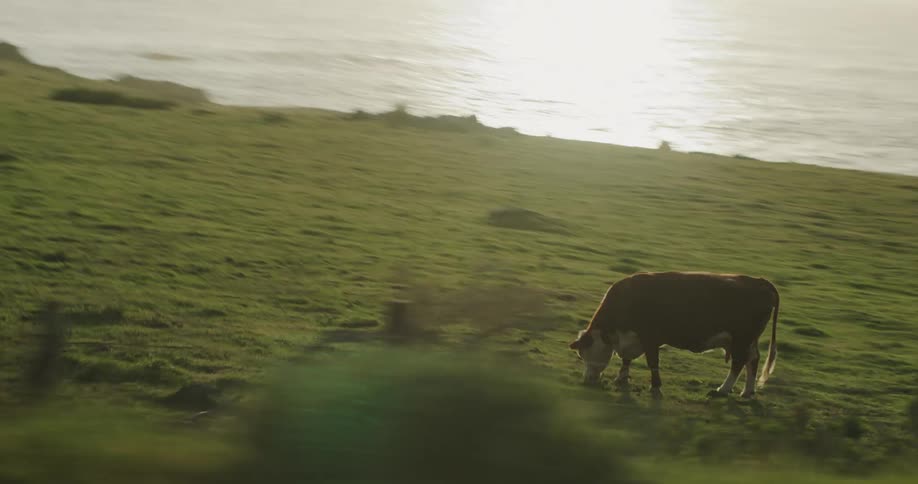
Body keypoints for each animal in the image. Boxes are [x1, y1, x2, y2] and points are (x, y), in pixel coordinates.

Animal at [568, 271, 779, 399]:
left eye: (586, 353)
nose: (588, 380)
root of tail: (760, 281)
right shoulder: (632, 339)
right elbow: (626, 360)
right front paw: (621, 378)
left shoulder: (650, 338)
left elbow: (652, 363)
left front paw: (655, 386)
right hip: (749, 340)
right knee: (753, 359)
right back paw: (747, 391)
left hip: (742, 339)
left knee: (739, 362)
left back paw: (723, 389)